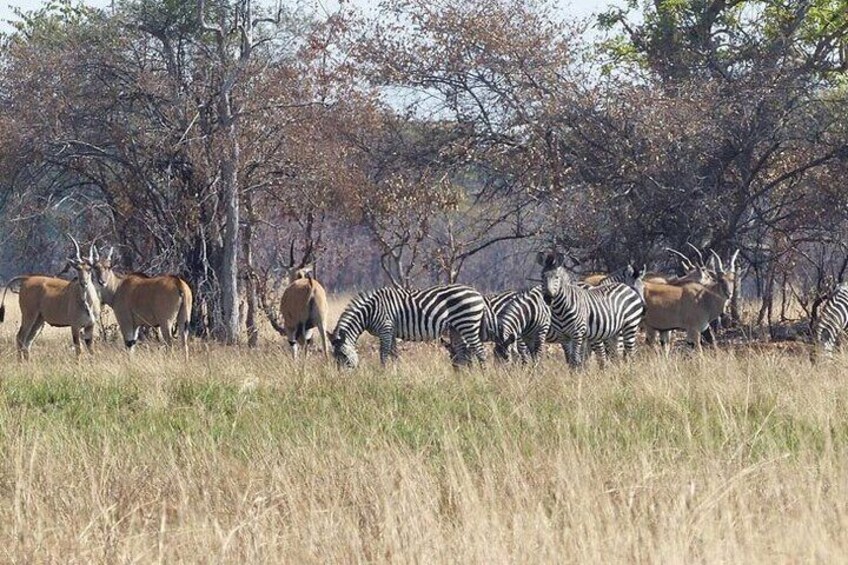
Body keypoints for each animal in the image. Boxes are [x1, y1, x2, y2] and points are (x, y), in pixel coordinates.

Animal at [330, 284, 487, 368]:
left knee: (480, 351)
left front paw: (382, 374)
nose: (343, 379)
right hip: (456, 328)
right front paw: (396, 373)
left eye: (343, 356)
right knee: (462, 353)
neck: (370, 311)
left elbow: (383, 354)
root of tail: (477, 293)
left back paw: (482, 377)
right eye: (334, 358)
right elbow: (394, 354)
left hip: (468, 324)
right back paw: (463, 378)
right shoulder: (391, 332)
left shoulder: (385, 329)